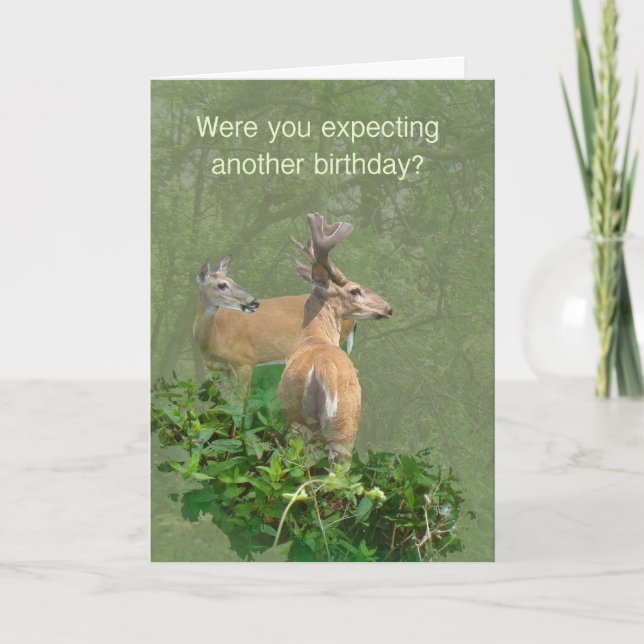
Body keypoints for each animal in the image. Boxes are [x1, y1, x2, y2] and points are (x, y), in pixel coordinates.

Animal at [193, 256, 356, 396]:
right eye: (222, 285)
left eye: (232, 280)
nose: (254, 302)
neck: (215, 338)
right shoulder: (223, 369)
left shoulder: (244, 361)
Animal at [278, 213, 393, 462]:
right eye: (355, 290)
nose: (388, 308)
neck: (315, 336)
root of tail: (324, 370)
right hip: (345, 424)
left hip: (296, 419)